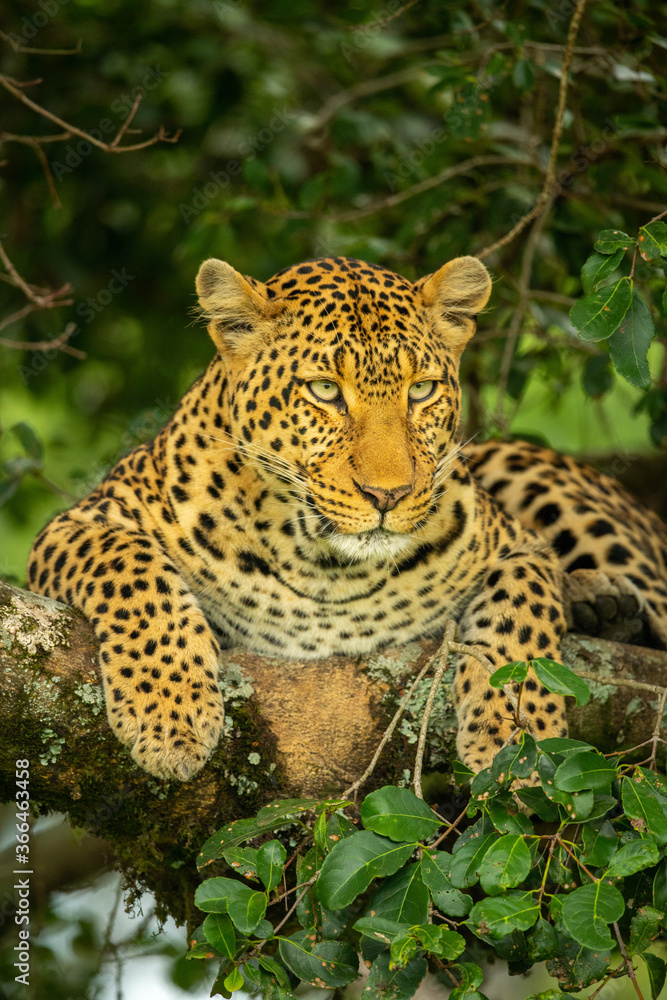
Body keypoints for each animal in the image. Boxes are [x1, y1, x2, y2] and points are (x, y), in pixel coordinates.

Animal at [27, 254, 667, 782]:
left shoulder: (518, 545)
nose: (388, 494)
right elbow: (131, 568)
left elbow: (523, 618)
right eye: (324, 390)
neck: (325, 566)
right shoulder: (80, 521)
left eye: (422, 390)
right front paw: (169, 717)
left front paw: (520, 739)